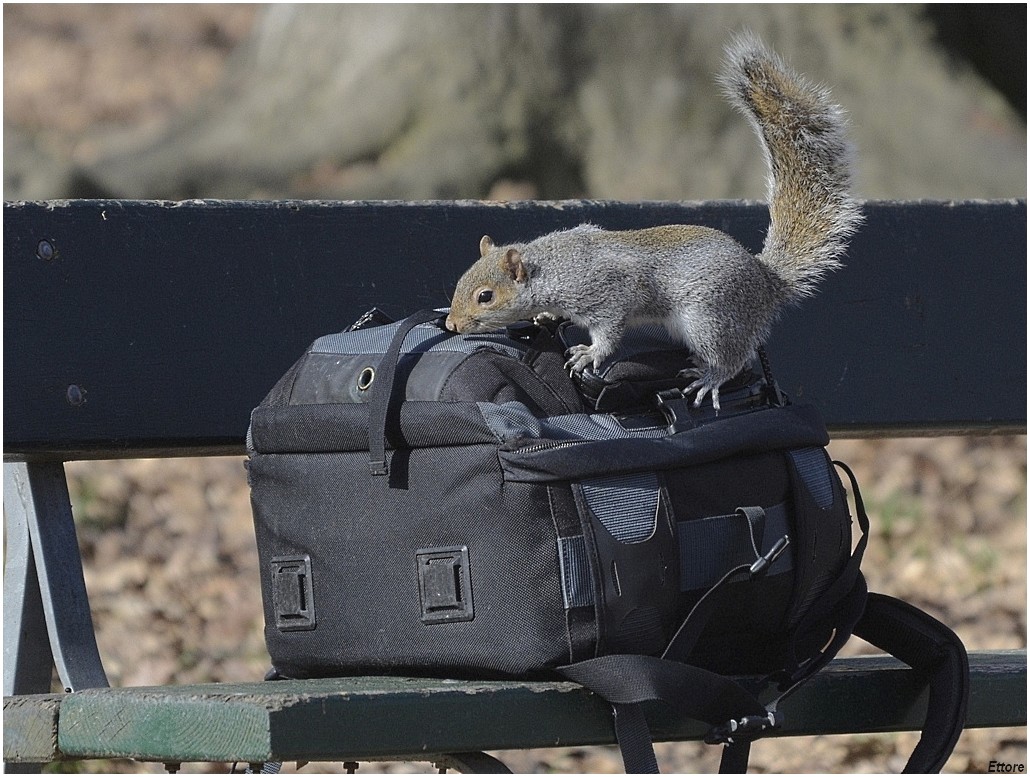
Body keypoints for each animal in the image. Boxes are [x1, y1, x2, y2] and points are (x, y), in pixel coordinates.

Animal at [442, 33, 861, 412]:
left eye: (485, 296)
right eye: (461, 282)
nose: (452, 326)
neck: (553, 265)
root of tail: (766, 284)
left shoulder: (607, 291)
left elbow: (610, 331)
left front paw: (589, 353)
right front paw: (546, 314)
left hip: (709, 319)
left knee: (731, 358)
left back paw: (710, 378)